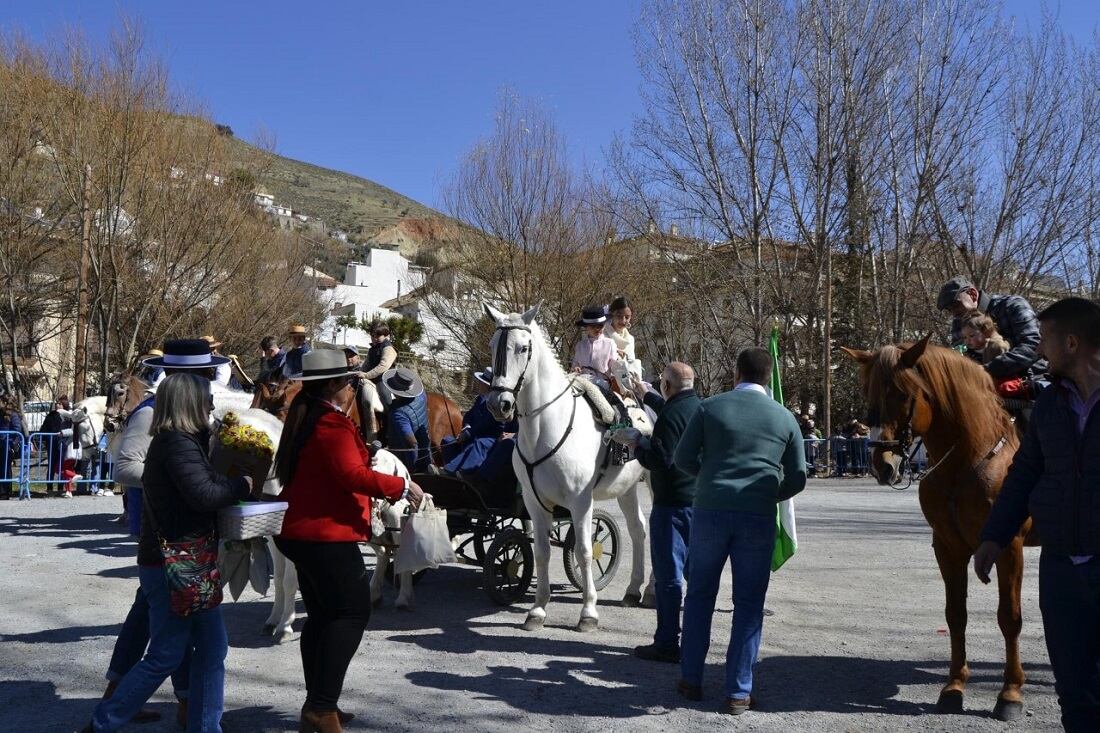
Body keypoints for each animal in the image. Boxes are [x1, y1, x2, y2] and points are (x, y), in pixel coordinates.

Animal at [484, 299, 651, 629]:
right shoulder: (535, 503)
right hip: (627, 489)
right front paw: (537, 609)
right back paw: (632, 590)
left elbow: (585, 550)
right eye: (493, 344)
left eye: (523, 347)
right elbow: (542, 552)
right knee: (638, 529)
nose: (500, 404)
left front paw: (588, 612)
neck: (547, 425)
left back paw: (650, 591)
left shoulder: (580, 501)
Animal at [840, 334, 1029, 717]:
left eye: (901, 393)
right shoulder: (948, 547)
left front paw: (1010, 692)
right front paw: (954, 685)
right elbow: (956, 614)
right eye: (868, 392)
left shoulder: (1008, 548)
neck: (969, 461)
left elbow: (1009, 617)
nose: (881, 464)